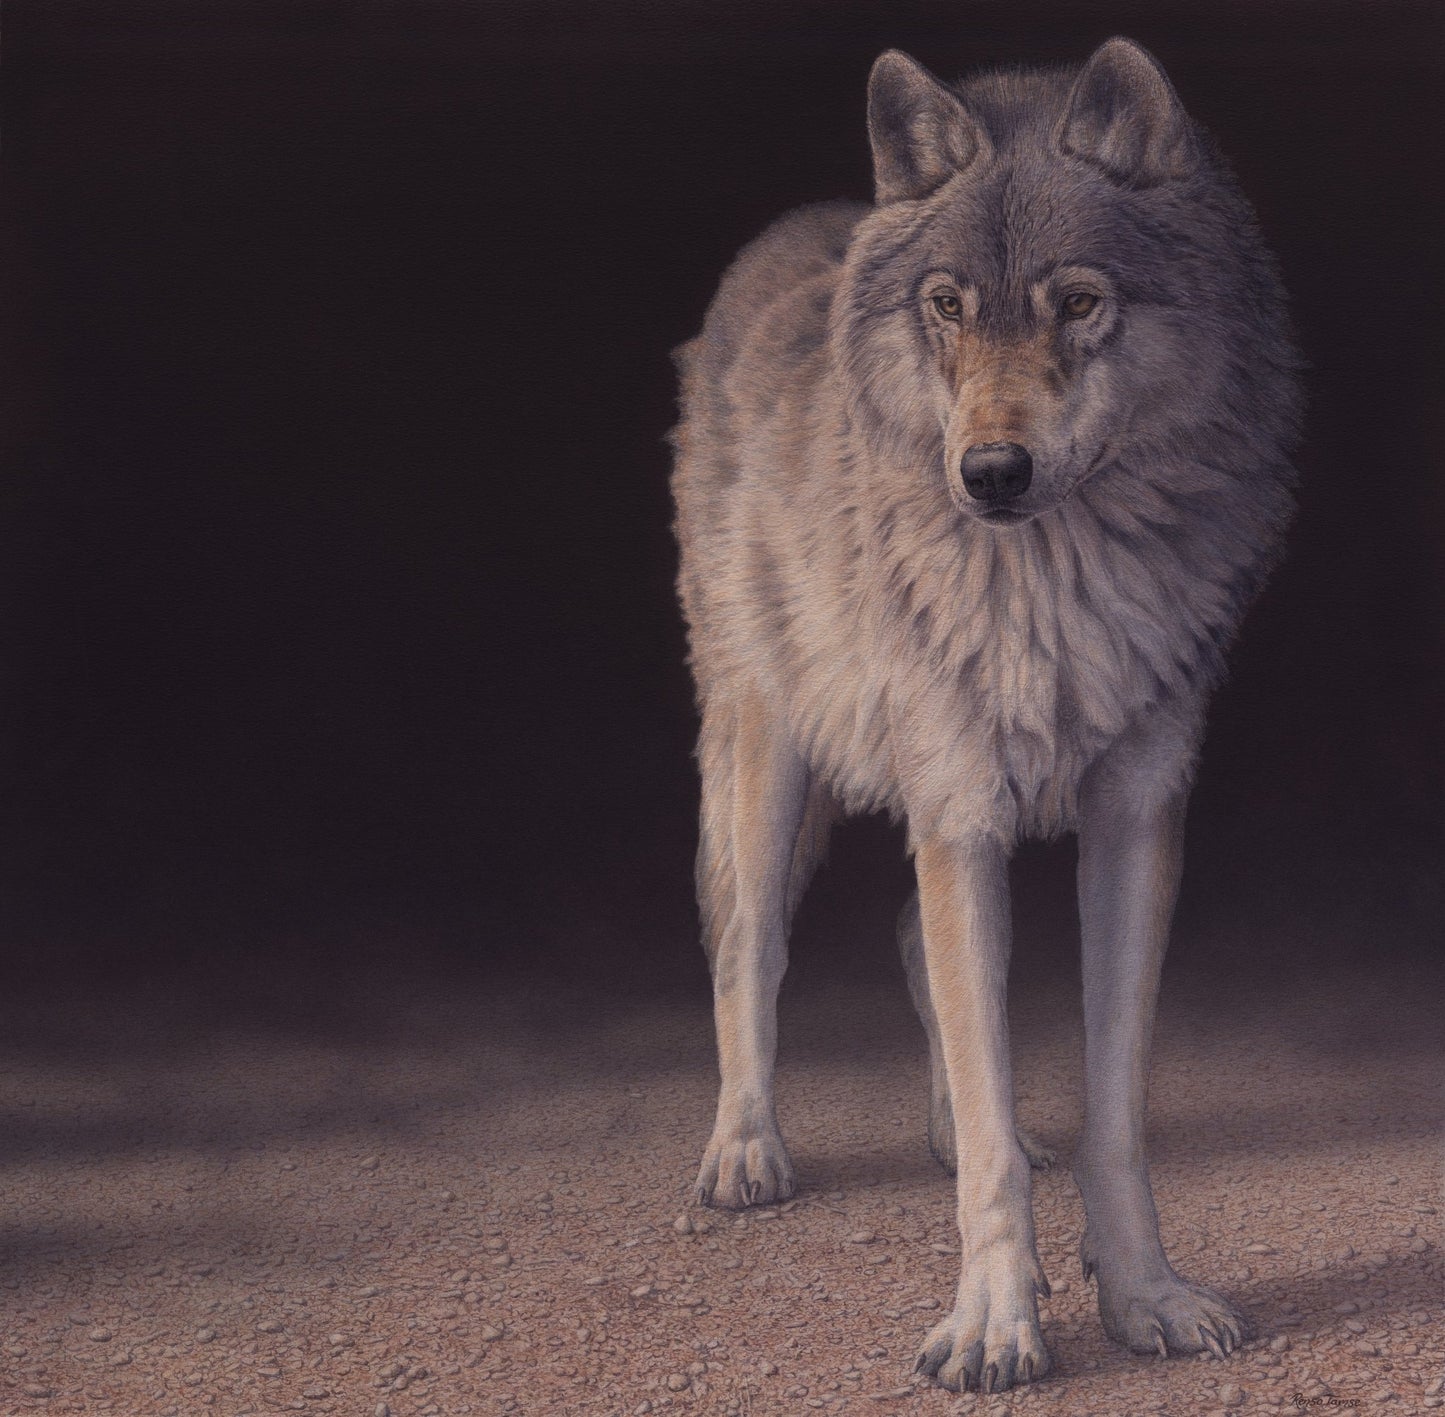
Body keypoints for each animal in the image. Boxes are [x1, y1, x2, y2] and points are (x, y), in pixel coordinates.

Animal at [669, 36, 1302, 1392]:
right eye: (947, 306)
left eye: (1077, 303)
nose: (990, 473)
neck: (1052, 579)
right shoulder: (958, 810)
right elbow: (994, 1107)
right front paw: (995, 1323)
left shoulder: (1133, 817)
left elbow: (1103, 1110)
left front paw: (1143, 1296)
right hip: (765, 756)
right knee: (747, 946)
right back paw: (744, 1152)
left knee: (913, 945)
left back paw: (940, 1130)